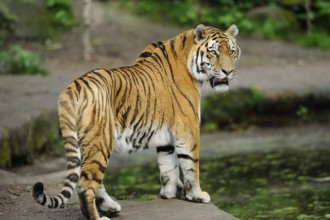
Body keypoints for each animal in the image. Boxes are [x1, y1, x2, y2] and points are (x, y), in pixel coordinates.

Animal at [32, 23, 241, 219]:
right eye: (213, 52)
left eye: (231, 51)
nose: (228, 71)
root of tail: (72, 87)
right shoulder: (188, 128)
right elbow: (191, 164)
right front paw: (197, 195)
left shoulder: (166, 134)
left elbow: (168, 165)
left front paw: (171, 193)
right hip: (100, 141)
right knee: (85, 184)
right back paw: (99, 217)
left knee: (90, 178)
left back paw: (110, 206)